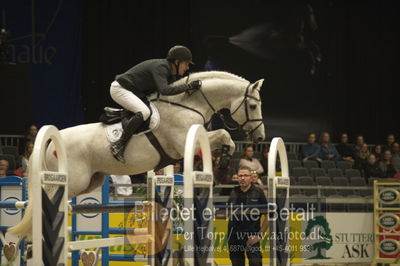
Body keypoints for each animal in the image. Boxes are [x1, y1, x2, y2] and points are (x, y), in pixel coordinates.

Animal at [8, 70, 266, 237]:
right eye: (253, 106)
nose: (260, 138)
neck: (188, 105)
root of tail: (52, 140)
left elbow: (223, 136)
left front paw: (224, 159)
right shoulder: (183, 143)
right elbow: (223, 134)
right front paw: (225, 157)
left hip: (90, 181)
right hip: (70, 180)